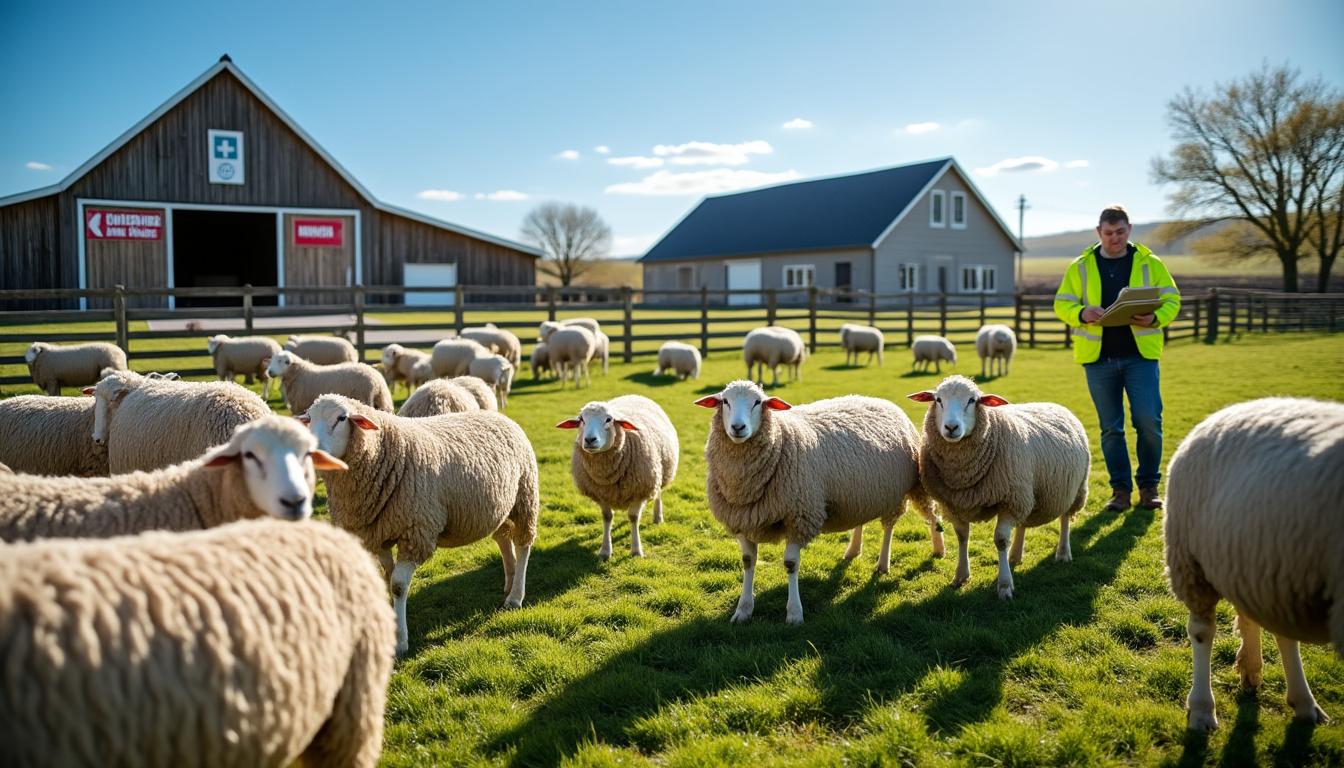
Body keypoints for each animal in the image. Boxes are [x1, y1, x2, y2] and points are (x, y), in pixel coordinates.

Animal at [301, 395, 540, 656]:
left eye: (342, 418)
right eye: (308, 419)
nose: (312, 454)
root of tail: (500, 416)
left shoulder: (416, 533)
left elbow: (397, 585)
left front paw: (400, 641)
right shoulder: (377, 534)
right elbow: (387, 578)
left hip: (525, 496)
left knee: (523, 545)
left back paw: (515, 596)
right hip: (499, 507)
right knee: (503, 540)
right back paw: (509, 582)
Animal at [557, 395, 679, 560]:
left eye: (609, 419)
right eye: (581, 419)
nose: (589, 440)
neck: (607, 475)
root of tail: (634, 395)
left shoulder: (640, 491)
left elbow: (633, 518)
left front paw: (636, 550)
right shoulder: (601, 494)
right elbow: (607, 517)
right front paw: (605, 550)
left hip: (658, 472)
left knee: (658, 493)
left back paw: (658, 517)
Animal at [696, 380, 944, 624]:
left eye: (758, 402)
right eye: (725, 402)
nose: (738, 428)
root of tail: (880, 400)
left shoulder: (800, 516)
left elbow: (790, 564)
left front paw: (794, 613)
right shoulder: (741, 520)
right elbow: (748, 561)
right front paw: (743, 610)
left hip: (907, 487)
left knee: (902, 523)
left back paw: (912, 556)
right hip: (859, 495)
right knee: (862, 520)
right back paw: (853, 550)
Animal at [908, 375, 1090, 600]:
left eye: (972, 400)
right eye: (938, 400)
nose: (951, 428)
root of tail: (1055, 405)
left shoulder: (1008, 500)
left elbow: (1001, 540)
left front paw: (1004, 586)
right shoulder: (955, 504)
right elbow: (962, 537)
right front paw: (961, 575)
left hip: (1073, 489)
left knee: (1065, 519)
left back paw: (1063, 553)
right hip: (1026, 492)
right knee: (1023, 523)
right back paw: (1015, 556)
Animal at [1164, 397, 1344, 732]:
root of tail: (1229, 410)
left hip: (1263, 568)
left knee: (1271, 627)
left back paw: (1285, 690)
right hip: (1194, 563)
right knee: (1202, 631)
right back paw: (1203, 709)